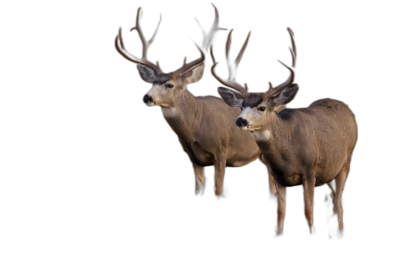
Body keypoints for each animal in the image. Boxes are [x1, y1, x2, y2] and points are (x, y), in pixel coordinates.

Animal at [115, 3, 278, 197]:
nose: (147, 97)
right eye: (152, 83)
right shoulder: (193, 158)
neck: (195, 127)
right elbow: (198, 187)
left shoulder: (221, 151)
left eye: (169, 84)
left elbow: (217, 189)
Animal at [211, 27, 358, 237]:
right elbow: (280, 214)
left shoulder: (310, 172)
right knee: (333, 199)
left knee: (339, 204)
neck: (288, 156)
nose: (240, 120)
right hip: (329, 171)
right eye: (241, 106)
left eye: (262, 107)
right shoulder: (278, 177)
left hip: (346, 162)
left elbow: (308, 211)